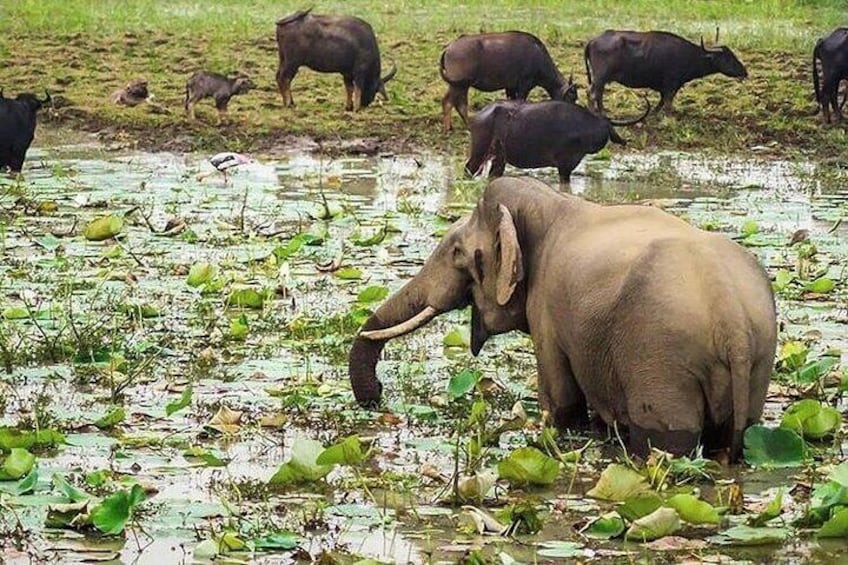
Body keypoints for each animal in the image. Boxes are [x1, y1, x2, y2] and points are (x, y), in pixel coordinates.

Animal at [348, 176, 780, 458]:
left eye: (457, 252)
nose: (378, 394)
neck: (551, 203)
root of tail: (732, 321)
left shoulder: (548, 314)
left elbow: (560, 401)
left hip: (662, 360)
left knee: (667, 440)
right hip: (757, 362)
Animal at [438, 31, 576, 131]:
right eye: (571, 97)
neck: (538, 55)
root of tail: (449, 48)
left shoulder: (510, 87)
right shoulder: (524, 86)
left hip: (461, 85)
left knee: (458, 103)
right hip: (459, 85)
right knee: (450, 102)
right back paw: (450, 128)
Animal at [464, 99, 648, 189]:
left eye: (606, 129)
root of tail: (479, 115)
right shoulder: (564, 165)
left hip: (499, 158)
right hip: (479, 151)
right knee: (468, 169)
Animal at [588, 30, 744, 116]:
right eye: (727, 57)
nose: (744, 72)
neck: (689, 55)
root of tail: (593, 40)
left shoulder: (669, 85)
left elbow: (663, 100)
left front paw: (655, 112)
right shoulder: (671, 83)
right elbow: (668, 101)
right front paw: (669, 116)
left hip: (601, 79)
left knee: (598, 93)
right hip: (600, 77)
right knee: (593, 94)